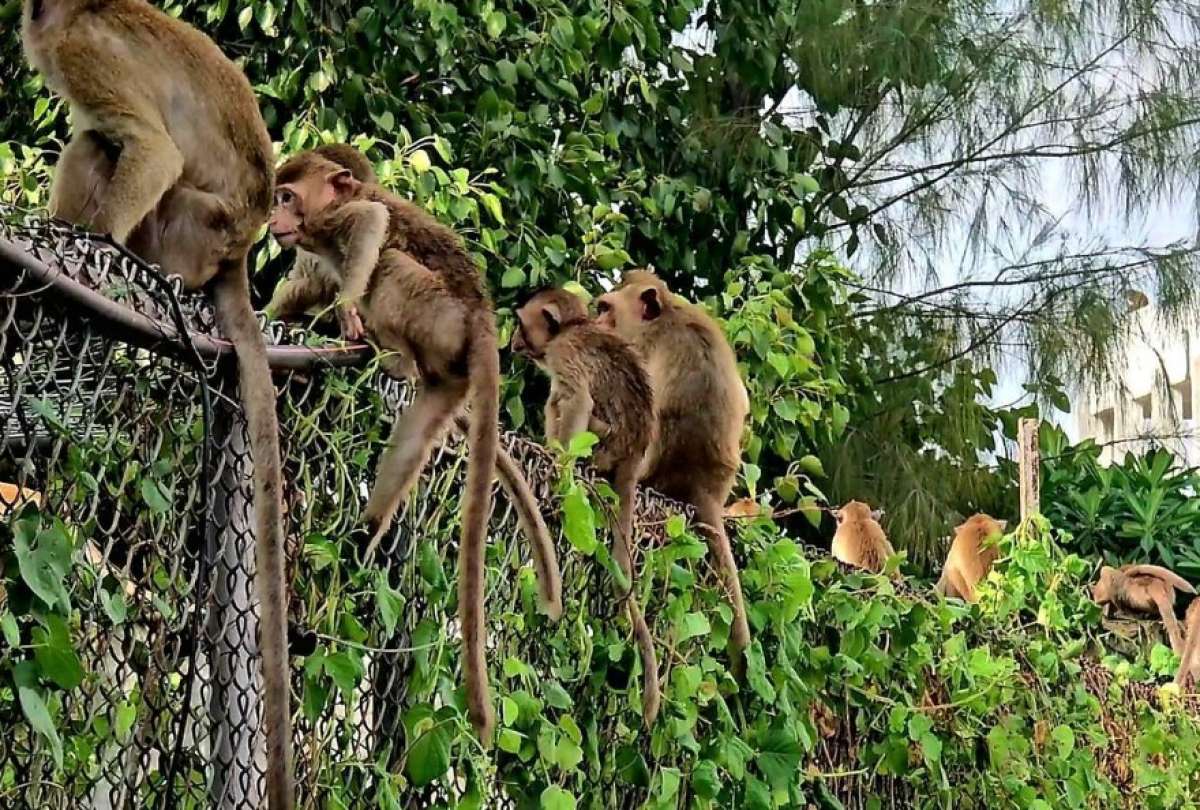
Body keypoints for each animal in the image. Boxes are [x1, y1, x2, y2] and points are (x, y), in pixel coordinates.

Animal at [21, 3, 293, 807]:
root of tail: (236, 254)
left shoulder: (82, 50)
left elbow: (154, 150)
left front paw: (95, 240)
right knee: (95, 141)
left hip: (182, 230)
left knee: (120, 151)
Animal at [268, 149, 545, 744]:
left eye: (288, 196)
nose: (273, 217)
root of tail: (482, 317)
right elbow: (302, 287)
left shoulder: (333, 223)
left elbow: (372, 223)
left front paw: (347, 307)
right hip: (451, 374)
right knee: (415, 435)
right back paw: (361, 539)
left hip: (436, 314)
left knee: (392, 262)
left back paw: (391, 355)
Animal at [511, 287, 661, 727]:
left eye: (521, 324)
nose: (513, 343)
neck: (573, 327)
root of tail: (633, 453)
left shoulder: (565, 352)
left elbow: (577, 399)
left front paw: (558, 459)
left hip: (603, 441)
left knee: (565, 401)